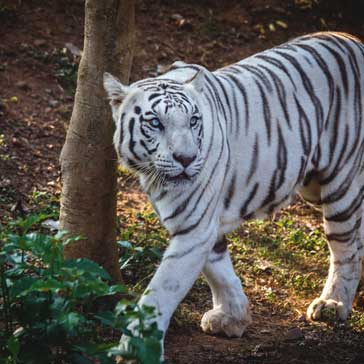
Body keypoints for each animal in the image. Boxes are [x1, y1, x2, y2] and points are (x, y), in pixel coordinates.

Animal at [102, 32, 364, 356]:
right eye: (155, 123)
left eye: (193, 121)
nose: (187, 158)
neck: (152, 174)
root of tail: (354, 41)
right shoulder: (202, 225)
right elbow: (219, 270)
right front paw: (233, 317)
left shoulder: (194, 228)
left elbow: (161, 291)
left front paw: (136, 350)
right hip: (314, 186)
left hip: (340, 181)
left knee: (346, 248)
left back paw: (333, 304)